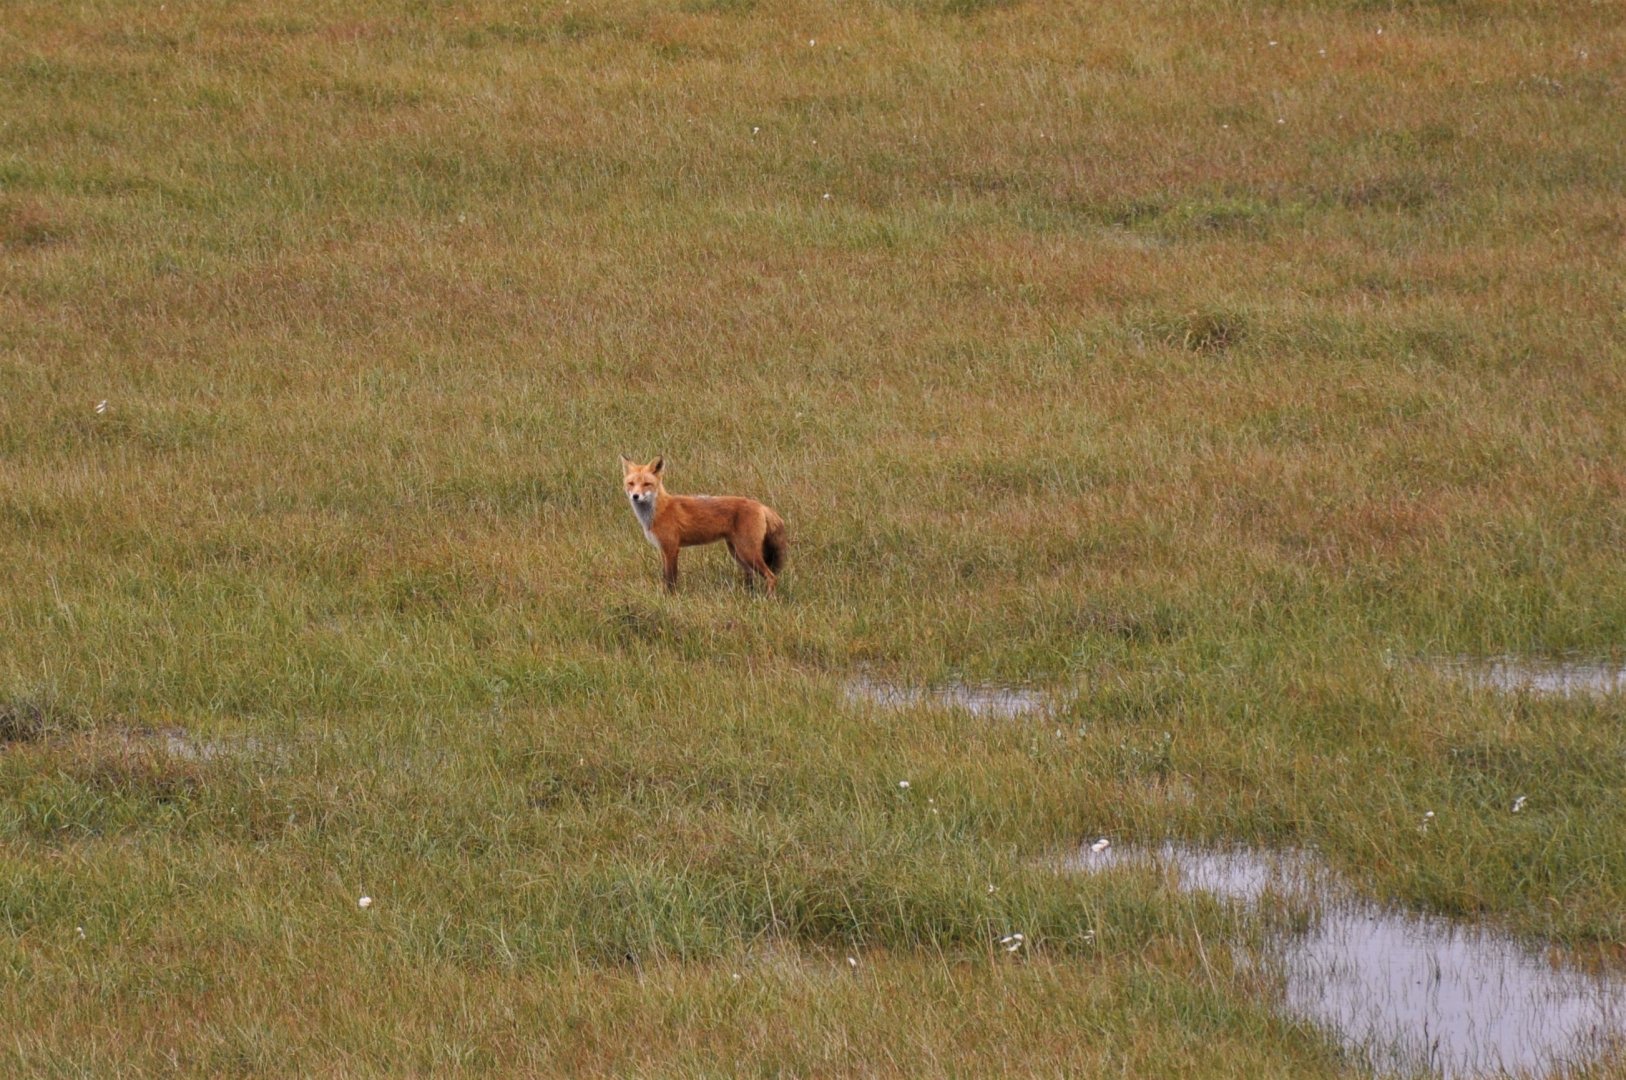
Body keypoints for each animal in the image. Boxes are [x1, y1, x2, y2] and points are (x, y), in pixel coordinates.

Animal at [620, 455, 787, 594]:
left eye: (646, 484)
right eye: (631, 483)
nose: (635, 496)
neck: (659, 511)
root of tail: (760, 505)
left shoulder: (672, 548)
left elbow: (671, 579)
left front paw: (670, 598)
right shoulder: (663, 549)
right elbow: (665, 576)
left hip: (747, 551)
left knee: (771, 576)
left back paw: (768, 599)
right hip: (737, 552)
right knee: (751, 575)